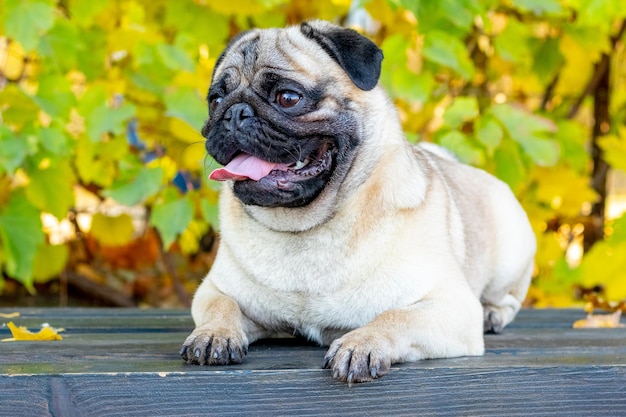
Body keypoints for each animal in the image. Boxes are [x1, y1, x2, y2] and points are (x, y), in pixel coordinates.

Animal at [180, 21, 536, 382]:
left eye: (288, 97)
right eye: (216, 100)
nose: (234, 113)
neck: (306, 229)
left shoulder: (451, 306)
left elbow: (394, 317)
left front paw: (360, 344)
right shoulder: (214, 289)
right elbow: (221, 305)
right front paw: (214, 333)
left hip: (509, 256)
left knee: (507, 300)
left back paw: (492, 314)